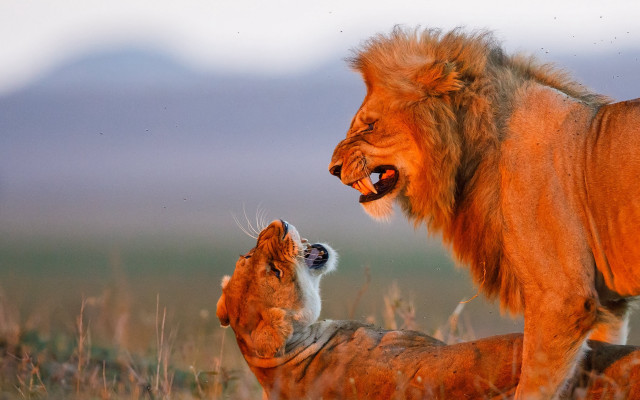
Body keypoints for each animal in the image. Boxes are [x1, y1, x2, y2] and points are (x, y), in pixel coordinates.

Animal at [328, 27, 640, 399]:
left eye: (370, 126)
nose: (332, 169)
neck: (479, 153)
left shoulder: (562, 299)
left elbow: (532, 387)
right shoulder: (609, 306)